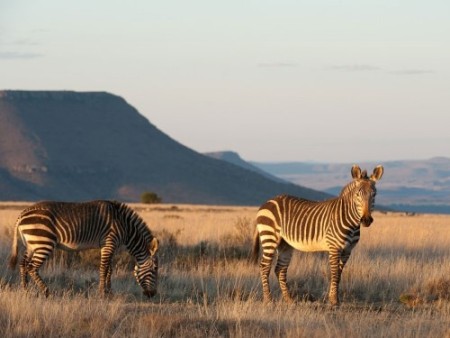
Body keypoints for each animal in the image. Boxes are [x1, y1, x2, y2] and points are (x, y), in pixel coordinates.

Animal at [8, 199, 160, 298]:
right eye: (155, 269)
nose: (152, 294)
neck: (124, 225)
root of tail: (22, 214)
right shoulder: (109, 242)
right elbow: (104, 268)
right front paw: (102, 293)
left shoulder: (107, 246)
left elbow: (109, 269)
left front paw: (109, 292)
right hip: (43, 243)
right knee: (31, 267)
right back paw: (46, 292)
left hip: (31, 245)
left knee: (23, 264)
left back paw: (25, 291)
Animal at [250, 164, 384, 306]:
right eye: (358, 194)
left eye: (374, 194)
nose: (366, 220)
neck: (350, 221)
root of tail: (266, 202)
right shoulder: (334, 247)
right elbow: (334, 273)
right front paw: (333, 300)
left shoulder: (347, 250)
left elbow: (339, 274)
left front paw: (334, 298)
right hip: (269, 237)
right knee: (264, 266)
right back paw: (268, 299)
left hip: (285, 244)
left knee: (280, 269)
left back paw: (289, 299)